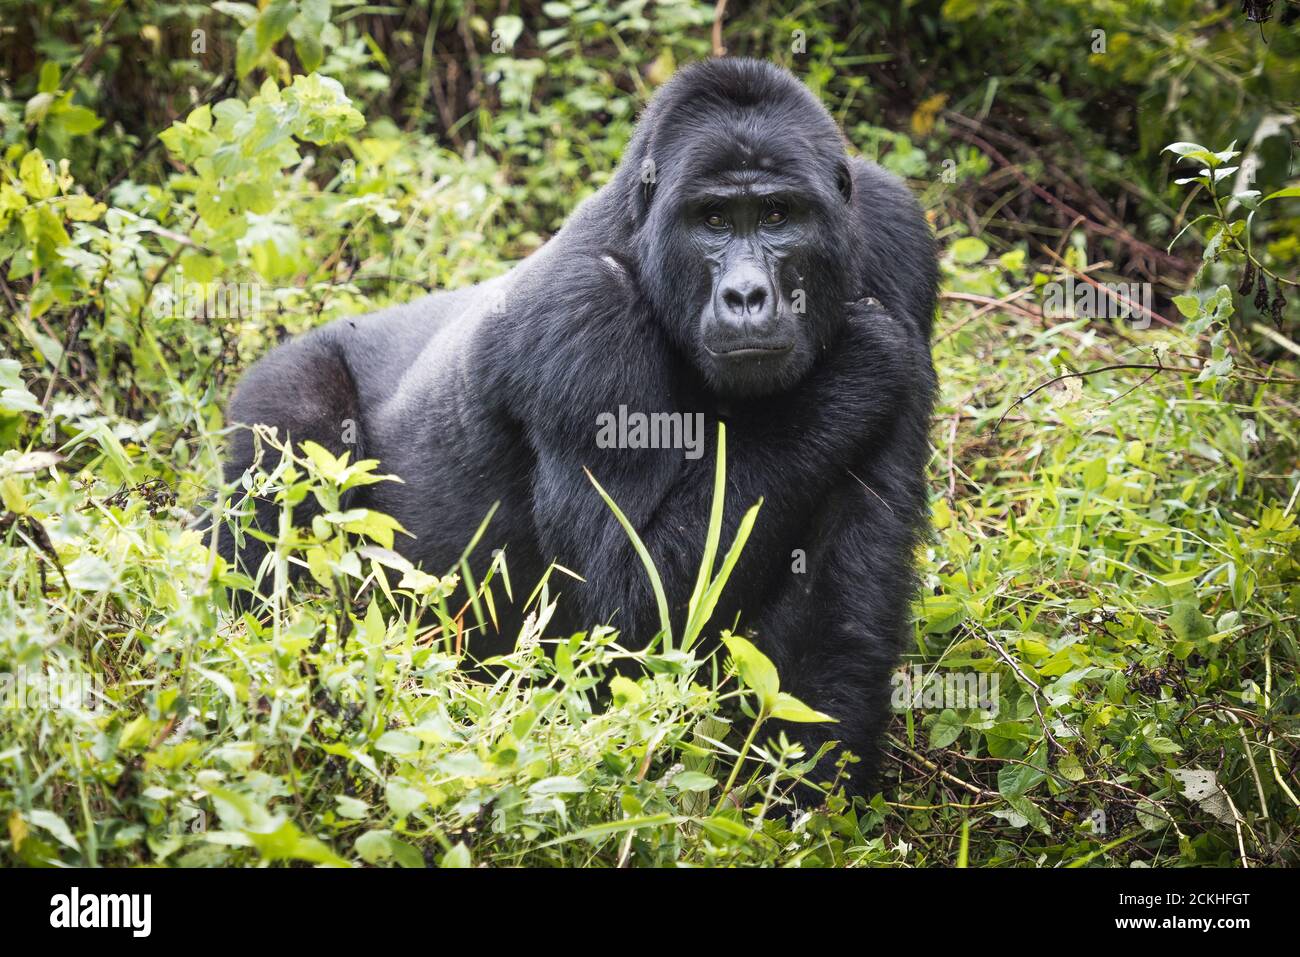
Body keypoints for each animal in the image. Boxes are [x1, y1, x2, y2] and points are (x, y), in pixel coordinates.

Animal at [218, 55, 941, 795]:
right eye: (712, 219)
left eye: (776, 214)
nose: (746, 295)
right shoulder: (583, 312)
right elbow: (622, 605)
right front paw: (858, 360)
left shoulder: (897, 235)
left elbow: (845, 570)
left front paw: (806, 793)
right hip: (279, 385)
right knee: (279, 470)